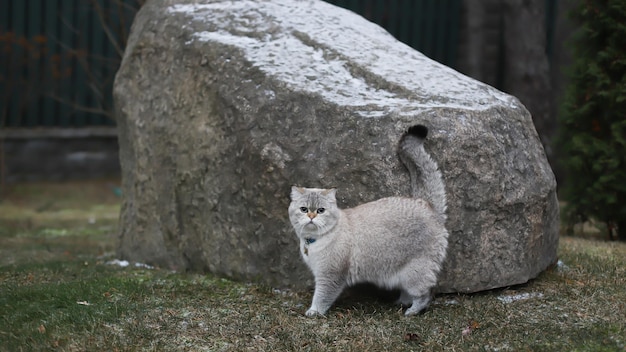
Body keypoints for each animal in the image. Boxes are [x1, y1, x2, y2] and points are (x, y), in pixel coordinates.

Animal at [286, 125, 446, 318]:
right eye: (304, 209)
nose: (311, 216)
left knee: (425, 294)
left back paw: (411, 311)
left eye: (320, 210)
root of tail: (427, 205)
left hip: (414, 272)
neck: (312, 242)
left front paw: (314, 312)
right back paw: (401, 303)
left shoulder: (330, 276)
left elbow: (321, 297)